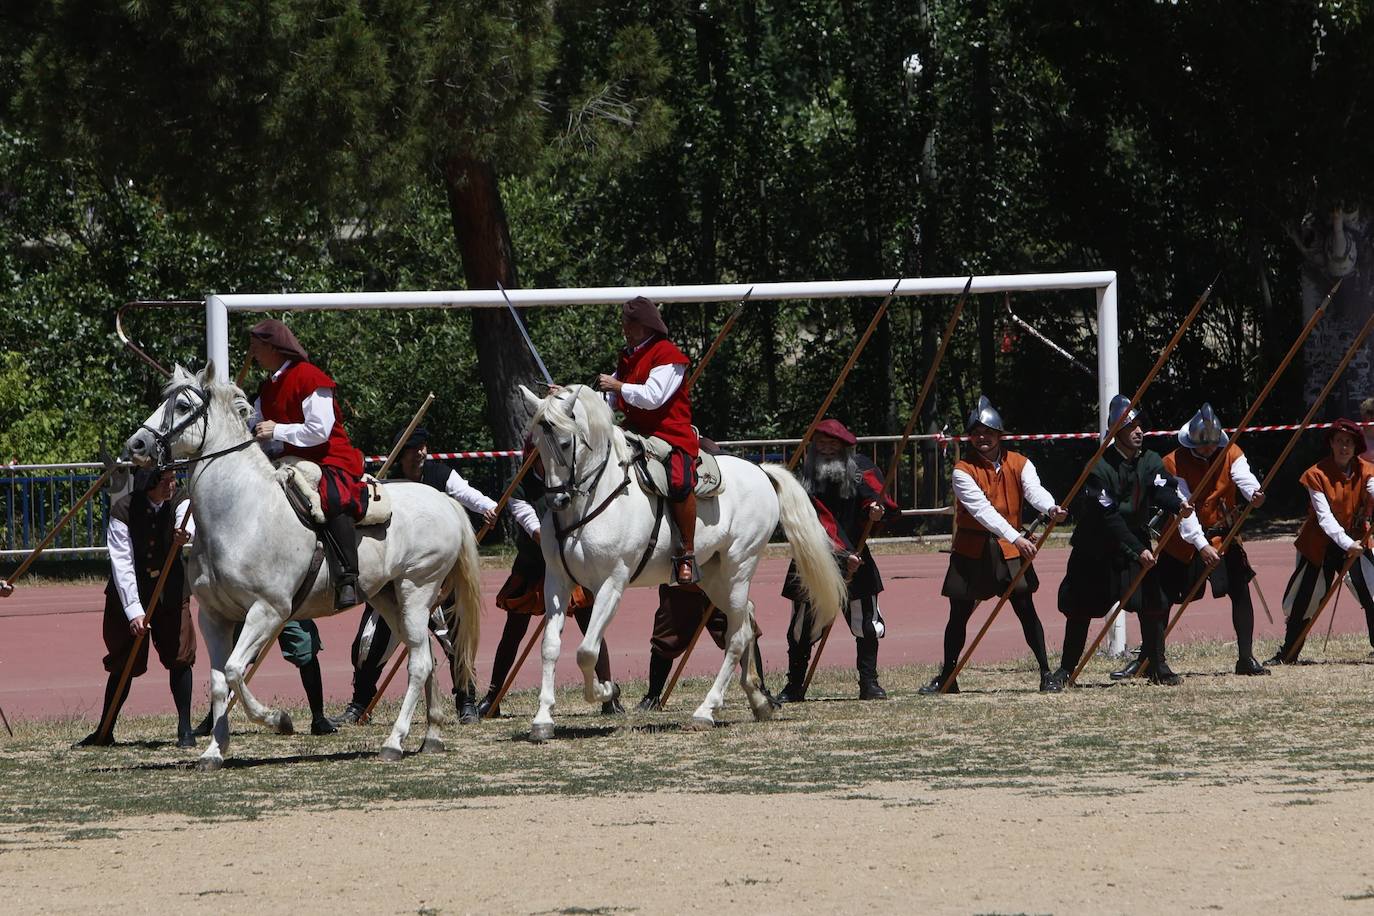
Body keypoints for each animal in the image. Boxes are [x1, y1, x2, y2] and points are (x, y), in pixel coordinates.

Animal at [123, 365, 486, 769]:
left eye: (183, 405)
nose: (136, 445)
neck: (241, 513)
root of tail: (444, 500)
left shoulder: (267, 611)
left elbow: (234, 670)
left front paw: (277, 720)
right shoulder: (214, 618)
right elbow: (219, 682)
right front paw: (214, 751)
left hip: (416, 590)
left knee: (419, 663)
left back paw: (394, 741)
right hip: (388, 598)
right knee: (426, 658)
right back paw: (431, 736)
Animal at [522, 384, 846, 736]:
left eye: (566, 443)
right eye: (536, 445)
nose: (557, 499)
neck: (595, 498)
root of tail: (761, 472)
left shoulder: (612, 584)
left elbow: (586, 651)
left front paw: (607, 691)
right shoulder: (557, 582)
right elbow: (550, 647)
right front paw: (543, 718)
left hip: (738, 567)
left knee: (737, 636)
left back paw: (707, 709)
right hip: (715, 578)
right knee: (746, 619)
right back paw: (758, 699)